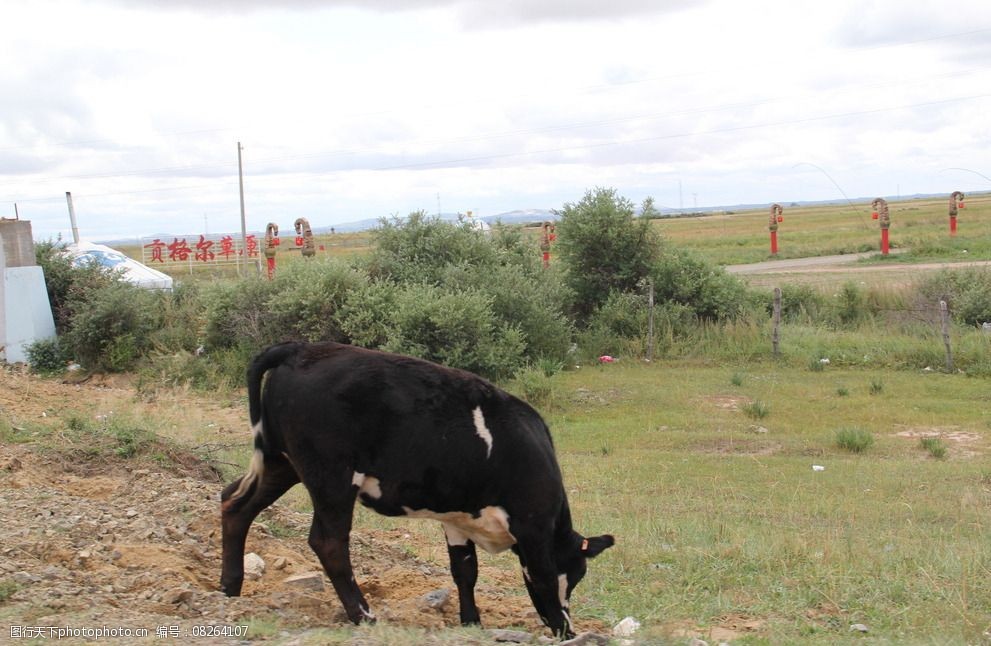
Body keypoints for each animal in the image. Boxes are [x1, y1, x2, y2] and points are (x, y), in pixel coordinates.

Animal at [221, 342, 616, 640]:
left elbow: (465, 571)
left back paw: (230, 589)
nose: (565, 621)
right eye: (577, 574)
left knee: (234, 504)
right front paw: (566, 631)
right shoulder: (533, 525)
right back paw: (363, 614)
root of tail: (303, 348)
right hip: (331, 476)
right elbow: (544, 577)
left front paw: (471, 622)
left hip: (279, 461)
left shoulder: (457, 520)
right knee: (328, 542)